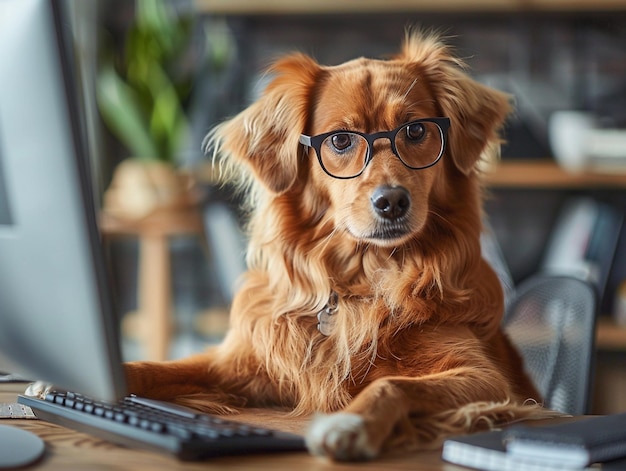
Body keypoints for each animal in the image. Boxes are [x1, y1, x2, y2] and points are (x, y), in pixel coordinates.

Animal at [125, 31, 544, 462]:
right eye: (341, 139)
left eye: (415, 131)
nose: (392, 201)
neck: (361, 283)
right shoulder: (242, 363)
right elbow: (151, 367)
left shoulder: (486, 378)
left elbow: (396, 384)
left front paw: (349, 423)